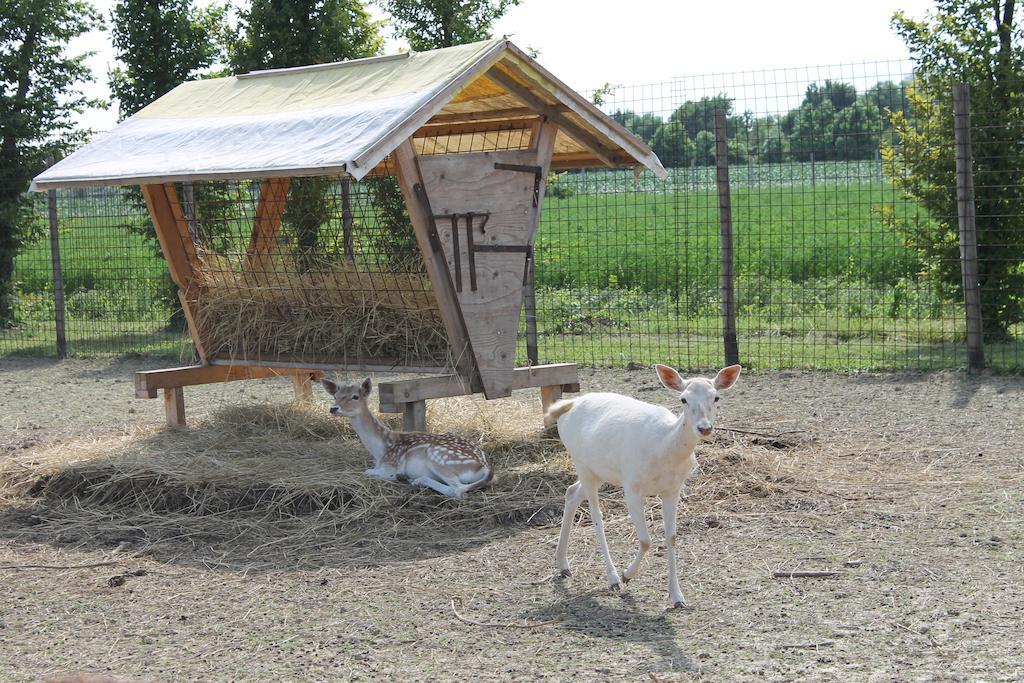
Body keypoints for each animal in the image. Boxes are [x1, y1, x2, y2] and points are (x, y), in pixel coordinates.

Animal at [321, 376, 493, 499]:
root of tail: (484, 467)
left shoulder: (391, 465)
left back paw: (410, 479)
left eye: (355, 396)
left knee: (457, 491)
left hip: (439, 457)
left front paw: (394, 476)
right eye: (335, 396)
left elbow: (368, 471)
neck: (380, 449)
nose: (333, 408)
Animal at [548, 362, 741, 610]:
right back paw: (612, 578)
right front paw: (626, 575)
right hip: (580, 462)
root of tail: (567, 405)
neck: (663, 448)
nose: (704, 428)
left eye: (716, 397)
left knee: (571, 492)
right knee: (596, 515)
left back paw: (563, 565)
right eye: (683, 399)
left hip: (599, 470)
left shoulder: (673, 489)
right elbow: (646, 540)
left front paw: (678, 597)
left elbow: (671, 537)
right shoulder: (631, 486)